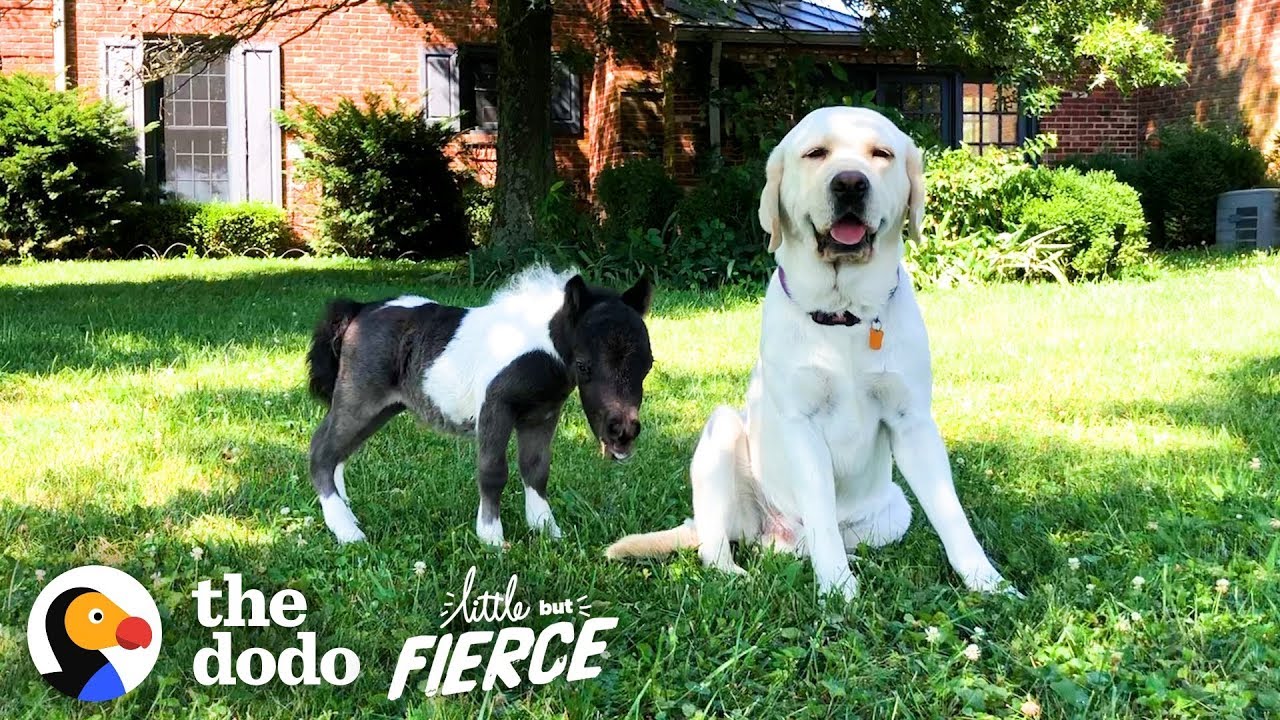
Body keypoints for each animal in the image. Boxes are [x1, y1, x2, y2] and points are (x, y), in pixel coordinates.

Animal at [304, 266, 655, 540]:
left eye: (648, 364)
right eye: (583, 366)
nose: (622, 433)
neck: (536, 347)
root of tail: (359, 310)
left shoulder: (541, 416)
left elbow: (537, 469)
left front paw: (547, 529)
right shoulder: (495, 409)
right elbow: (493, 471)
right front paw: (491, 538)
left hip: (381, 408)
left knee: (335, 451)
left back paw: (347, 514)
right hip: (359, 398)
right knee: (322, 452)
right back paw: (347, 531)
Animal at [604, 106, 1013, 597]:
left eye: (882, 154)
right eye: (816, 153)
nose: (851, 183)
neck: (845, 315)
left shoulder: (912, 421)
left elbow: (951, 513)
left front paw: (986, 581)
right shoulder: (802, 424)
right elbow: (821, 514)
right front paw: (837, 589)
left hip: (894, 511)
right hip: (722, 436)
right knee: (717, 544)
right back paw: (739, 574)